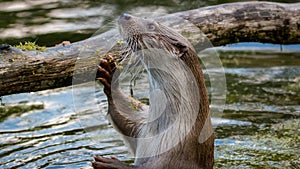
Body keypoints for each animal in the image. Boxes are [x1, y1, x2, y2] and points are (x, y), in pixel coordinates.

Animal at [94, 13, 213, 169]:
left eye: (151, 26)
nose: (125, 15)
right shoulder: (142, 126)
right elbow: (124, 116)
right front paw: (109, 74)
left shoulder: (176, 154)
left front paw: (112, 164)